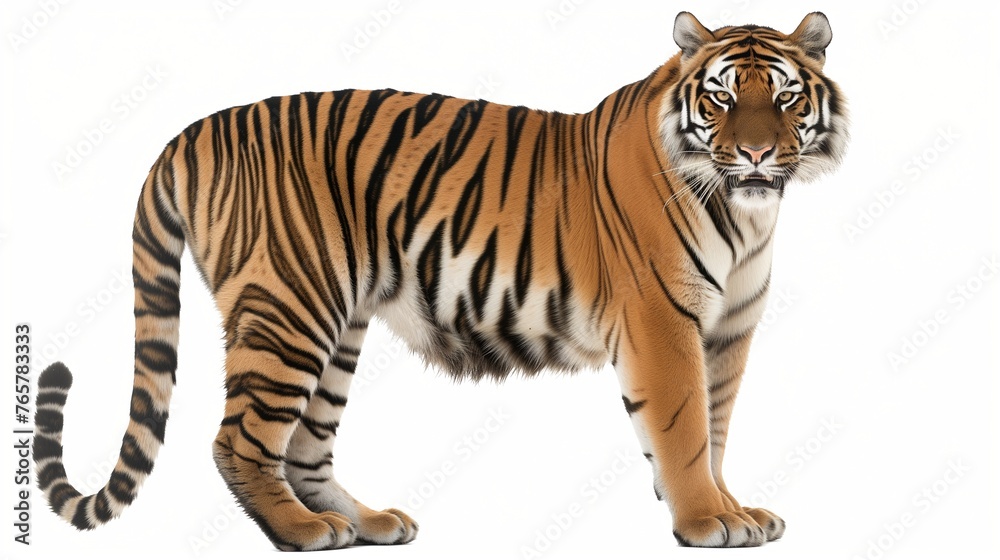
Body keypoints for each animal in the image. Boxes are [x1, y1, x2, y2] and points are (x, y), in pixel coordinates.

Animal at [33, 11, 847, 550]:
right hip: (289, 310)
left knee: (306, 447)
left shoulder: (728, 330)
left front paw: (734, 508)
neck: (746, 213)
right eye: (720, 98)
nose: (754, 154)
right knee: (239, 439)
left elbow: (716, 426)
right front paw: (707, 520)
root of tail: (192, 130)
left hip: (337, 325)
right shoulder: (662, 320)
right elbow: (683, 428)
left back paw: (364, 523)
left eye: (784, 98)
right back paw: (302, 531)